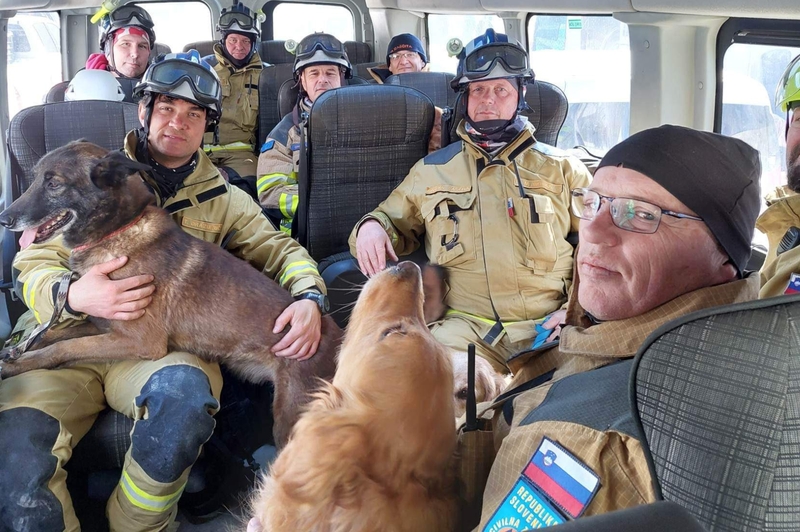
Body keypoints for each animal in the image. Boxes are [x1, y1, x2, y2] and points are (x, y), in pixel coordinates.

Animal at [0, 142, 340, 448]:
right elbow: (55, 333)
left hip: (292, 418)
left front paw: (17, 364)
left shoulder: (139, 342)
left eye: (54, 183)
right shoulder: (102, 324)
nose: (4, 219)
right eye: (34, 179)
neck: (117, 230)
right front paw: (15, 351)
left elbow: (62, 348)